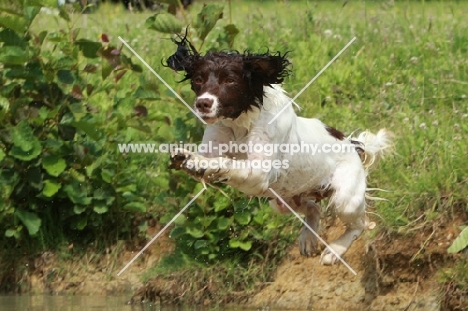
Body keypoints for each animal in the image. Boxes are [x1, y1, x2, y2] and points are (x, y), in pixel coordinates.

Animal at [166, 44, 394, 266]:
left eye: (230, 80)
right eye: (198, 79)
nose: (202, 103)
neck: (240, 124)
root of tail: (352, 144)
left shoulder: (259, 174)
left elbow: (228, 164)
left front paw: (206, 165)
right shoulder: (214, 142)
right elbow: (204, 157)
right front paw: (189, 159)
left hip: (345, 199)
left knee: (361, 224)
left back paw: (334, 251)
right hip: (281, 201)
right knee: (314, 209)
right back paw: (308, 239)